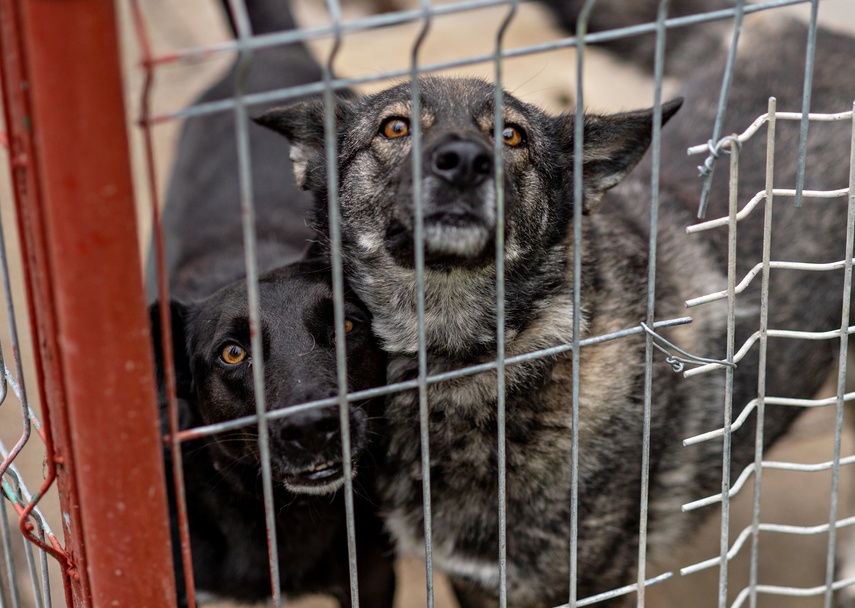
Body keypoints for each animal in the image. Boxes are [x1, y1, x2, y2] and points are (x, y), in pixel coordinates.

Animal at [150, 0, 394, 604]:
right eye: (232, 353)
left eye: (347, 326)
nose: (310, 428)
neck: (284, 517)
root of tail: (269, 47)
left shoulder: (372, 576)